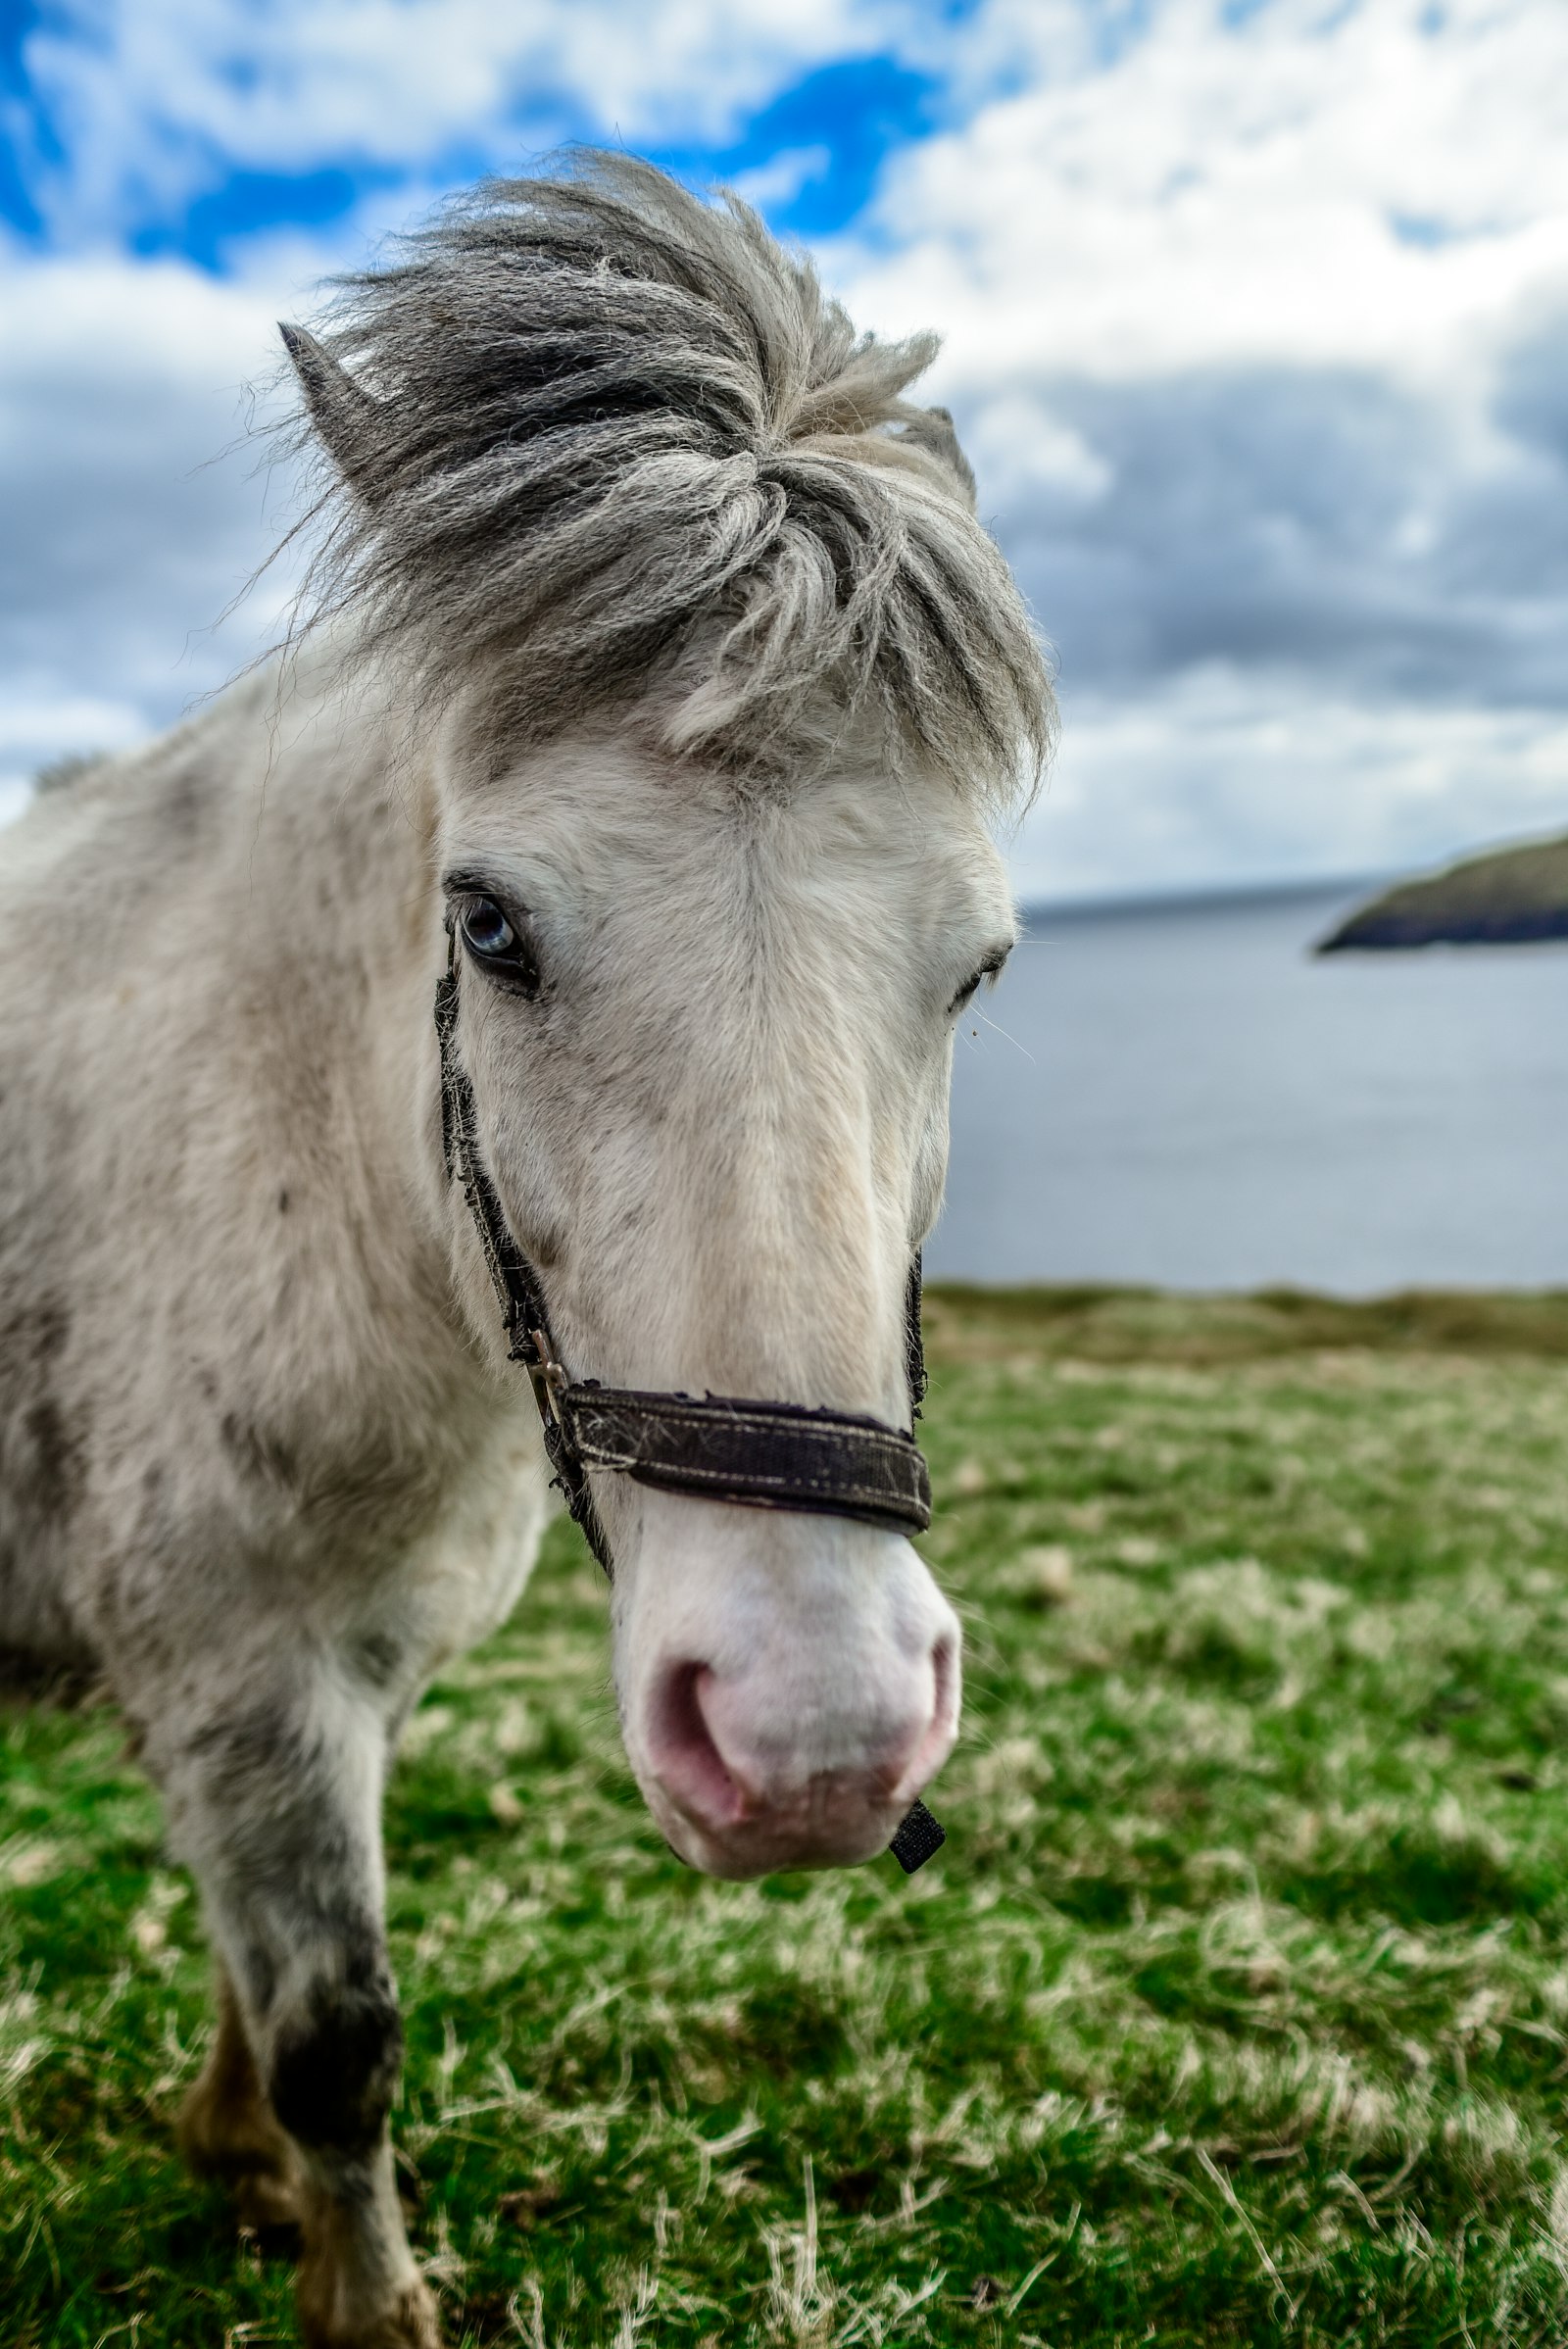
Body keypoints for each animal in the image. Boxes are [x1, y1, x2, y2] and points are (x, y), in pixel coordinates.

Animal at [3, 161, 1052, 2349]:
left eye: (978, 966)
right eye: (485, 925)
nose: (811, 1736)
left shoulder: (347, 1670)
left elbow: (258, 1969)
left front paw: (231, 2153)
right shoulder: (241, 1673)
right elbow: (338, 2028)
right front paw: (360, 2285)